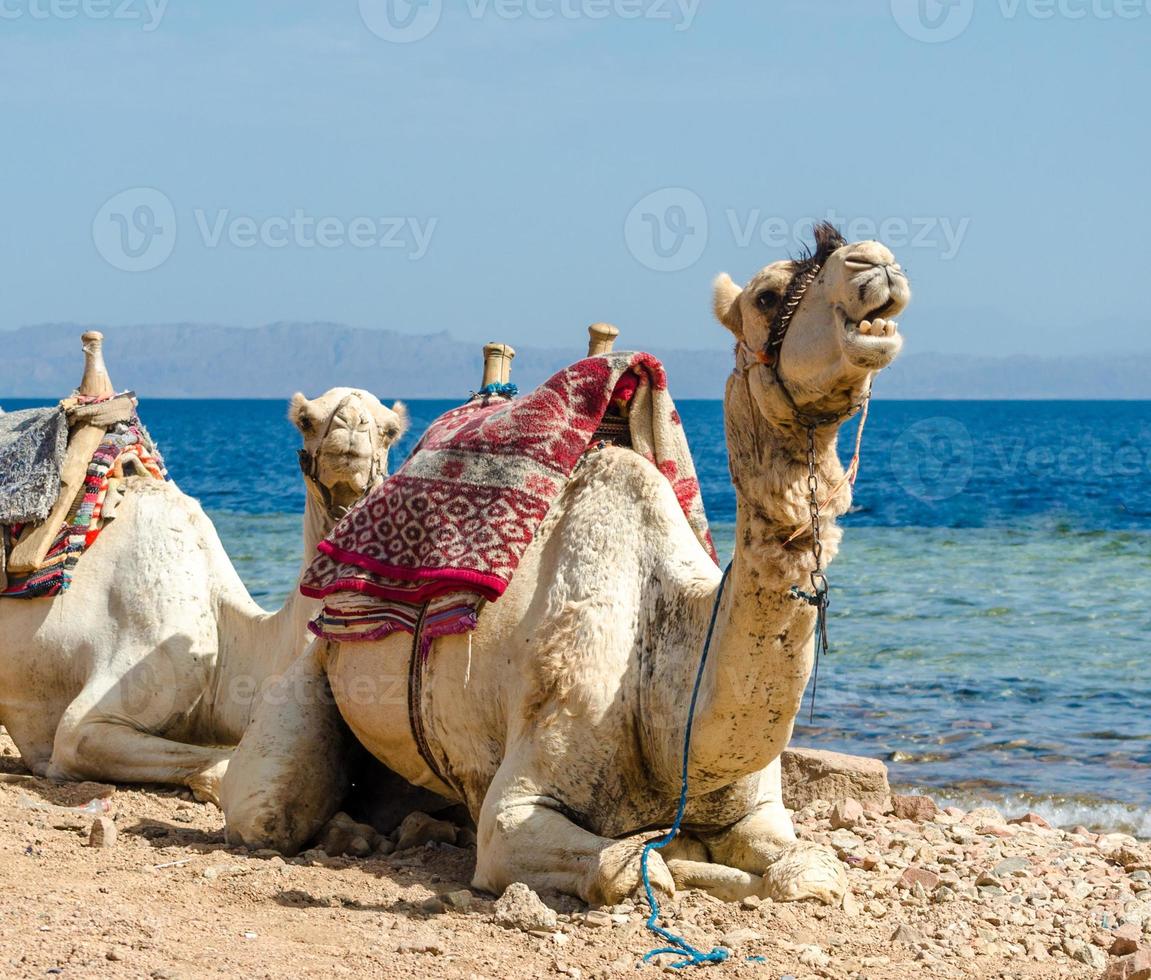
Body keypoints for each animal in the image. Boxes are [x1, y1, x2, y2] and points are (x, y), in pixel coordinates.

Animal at [222, 225, 906, 907]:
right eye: (765, 296)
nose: (875, 265)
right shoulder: (516, 807)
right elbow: (632, 867)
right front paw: (680, 858)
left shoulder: (760, 810)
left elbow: (810, 871)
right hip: (311, 674)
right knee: (265, 809)